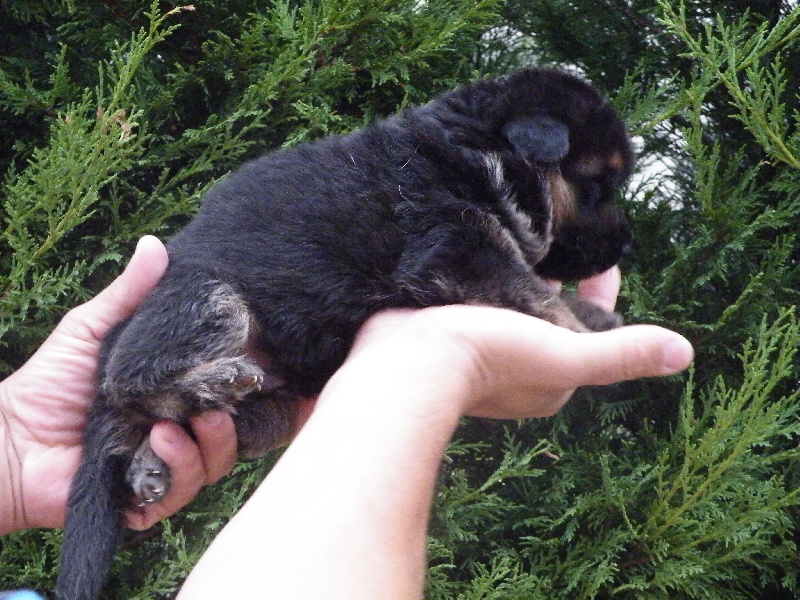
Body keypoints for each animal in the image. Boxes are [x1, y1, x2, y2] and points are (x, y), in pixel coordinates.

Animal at [55, 68, 633, 600]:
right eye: (598, 188)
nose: (625, 249)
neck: (476, 154)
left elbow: (539, 288)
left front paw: (596, 315)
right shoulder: (458, 251)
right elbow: (535, 293)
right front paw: (583, 331)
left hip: (272, 404)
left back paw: (155, 459)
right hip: (211, 298)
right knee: (130, 377)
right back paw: (213, 381)